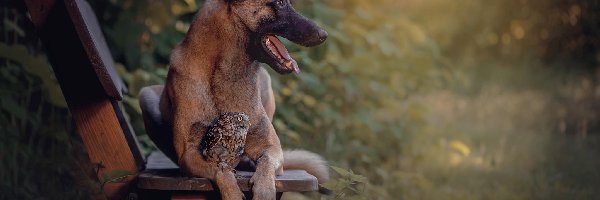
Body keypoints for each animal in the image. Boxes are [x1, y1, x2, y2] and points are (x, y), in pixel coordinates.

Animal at [156, 0, 328, 199]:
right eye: (279, 3)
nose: (324, 34)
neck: (224, 74)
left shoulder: (271, 147)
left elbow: (266, 163)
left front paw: (264, 189)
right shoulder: (189, 154)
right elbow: (220, 169)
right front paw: (233, 192)